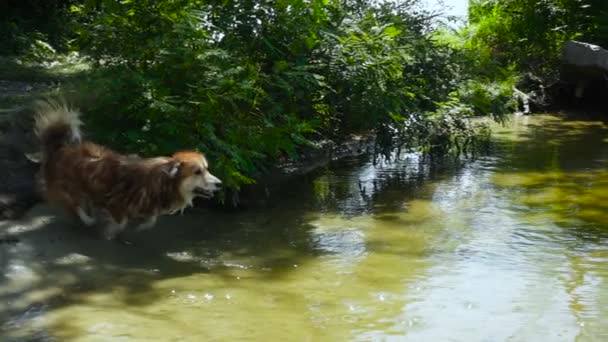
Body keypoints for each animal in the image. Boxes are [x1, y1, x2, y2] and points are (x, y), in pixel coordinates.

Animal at [32, 97, 221, 239]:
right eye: (198, 172)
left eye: (207, 169)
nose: (219, 184)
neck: (163, 181)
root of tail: (60, 147)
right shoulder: (116, 202)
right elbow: (120, 221)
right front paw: (109, 233)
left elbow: (150, 219)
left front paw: (142, 224)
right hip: (69, 186)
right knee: (74, 204)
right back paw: (87, 219)